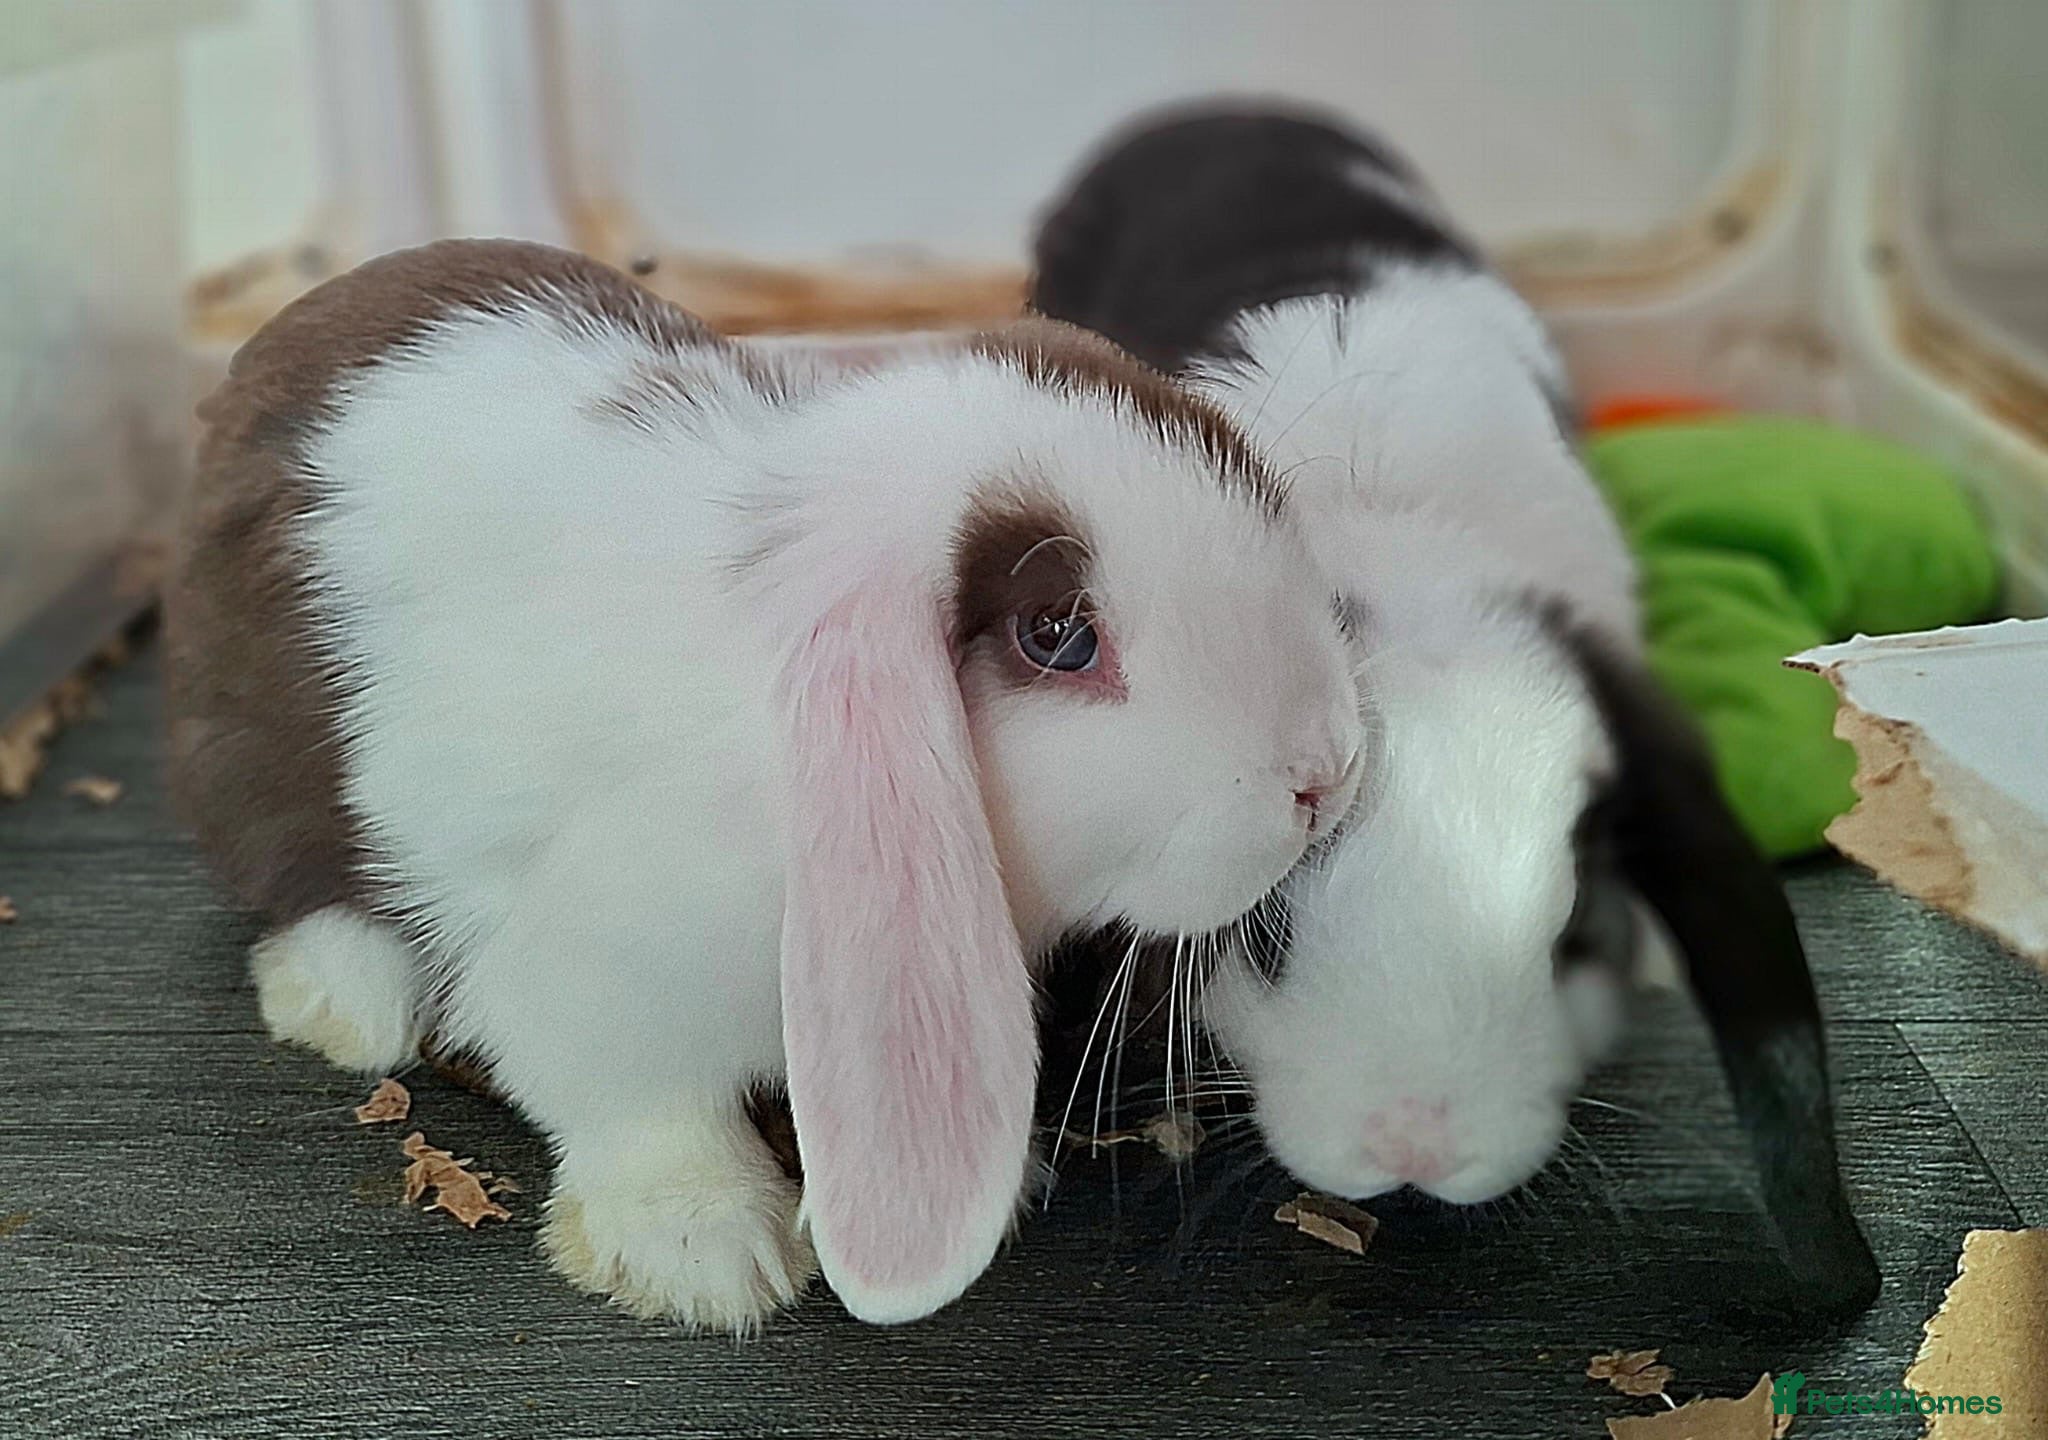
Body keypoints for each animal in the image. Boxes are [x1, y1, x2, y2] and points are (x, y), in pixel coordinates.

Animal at [164, 238, 1366, 1333]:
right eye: (1058, 638)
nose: (1327, 773)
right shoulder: (602, 978)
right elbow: (629, 1100)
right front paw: (704, 1254)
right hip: (253, 761)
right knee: (301, 885)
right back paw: (348, 1003)